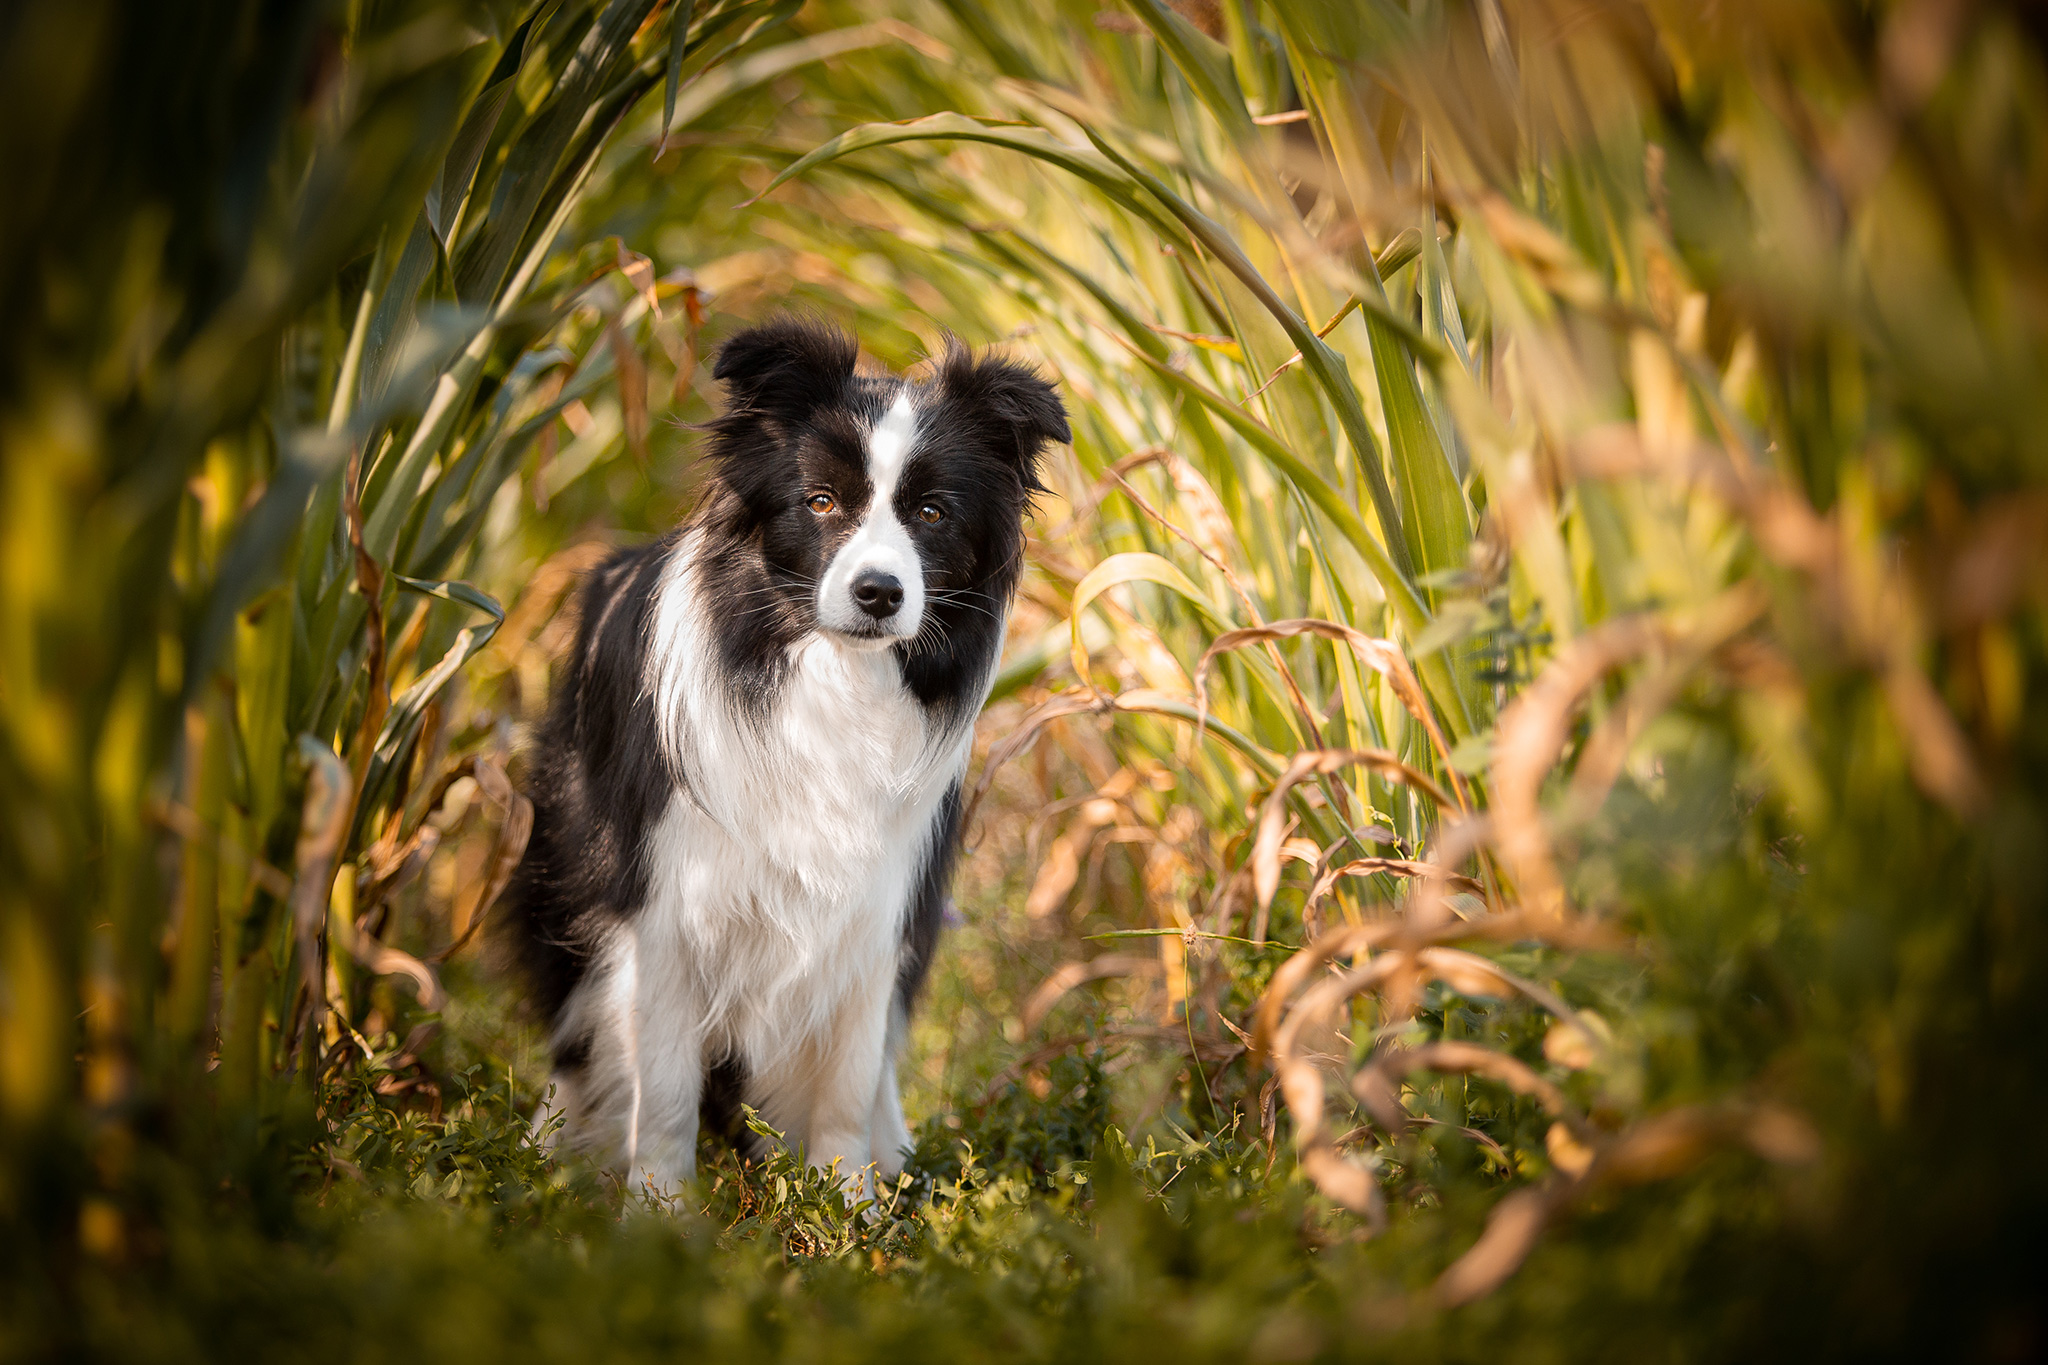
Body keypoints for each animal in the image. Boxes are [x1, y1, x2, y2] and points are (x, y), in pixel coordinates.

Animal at [503, 321, 1064, 1195]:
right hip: (566, 869)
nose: (879, 592)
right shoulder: (667, 905)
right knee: (575, 1029)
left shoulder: (875, 912)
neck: (830, 679)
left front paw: (851, 1204)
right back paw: (547, 1149)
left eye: (932, 513)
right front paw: (657, 1206)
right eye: (822, 501)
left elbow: (848, 1082)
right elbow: (664, 1090)